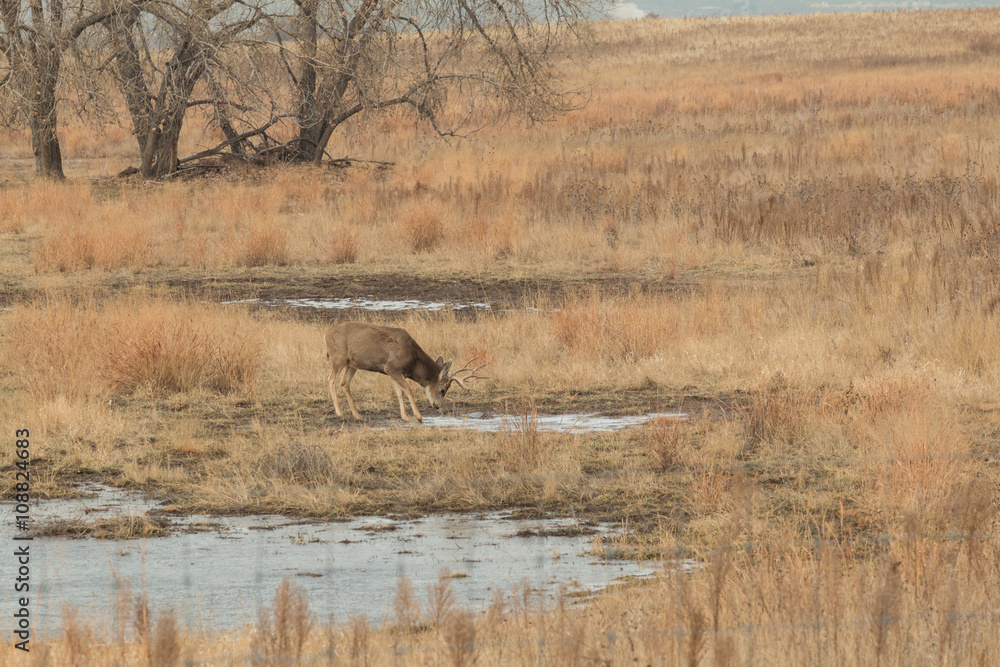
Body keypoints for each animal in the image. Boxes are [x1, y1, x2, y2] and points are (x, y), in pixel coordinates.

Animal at [324, 322, 488, 423]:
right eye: (443, 390)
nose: (436, 406)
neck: (412, 359)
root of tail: (326, 334)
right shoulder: (391, 367)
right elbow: (408, 388)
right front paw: (418, 416)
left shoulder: (394, 372)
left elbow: (399, 393)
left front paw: (405, 417)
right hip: (338, 357)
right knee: (331, 379)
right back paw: (339, 412)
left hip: (353, 363)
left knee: (344, 383)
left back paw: (357, 415)